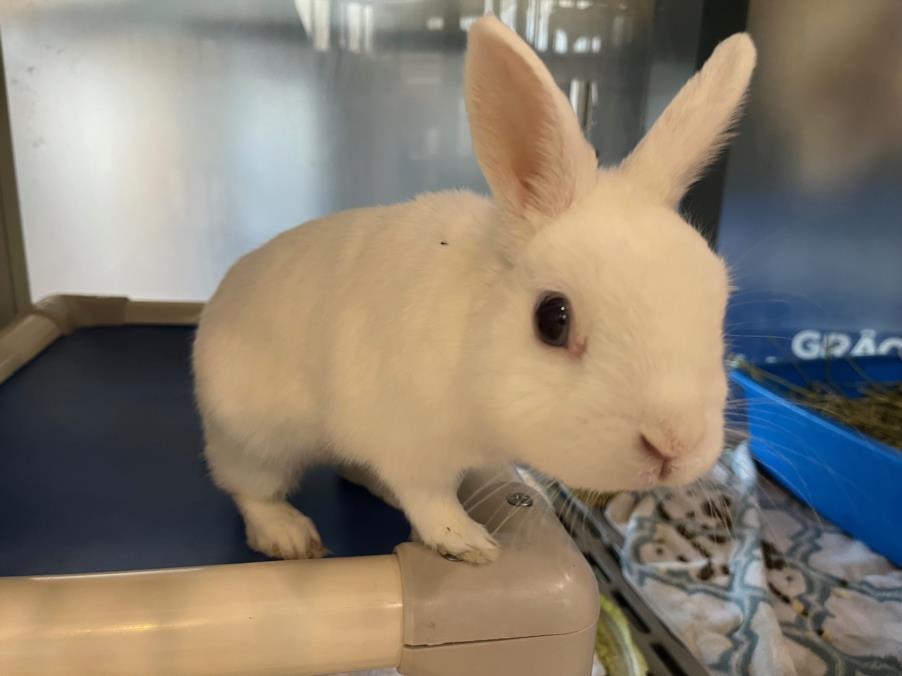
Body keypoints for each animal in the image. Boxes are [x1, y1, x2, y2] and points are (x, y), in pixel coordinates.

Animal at [192, 15, 756, 564]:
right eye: (553, 319)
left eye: (719, 308)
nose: (674, 444)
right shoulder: (410, 442)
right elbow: (430, 498)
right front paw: (467, 542)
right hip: (253, 440)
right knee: (250, 487)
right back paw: (289, 537)